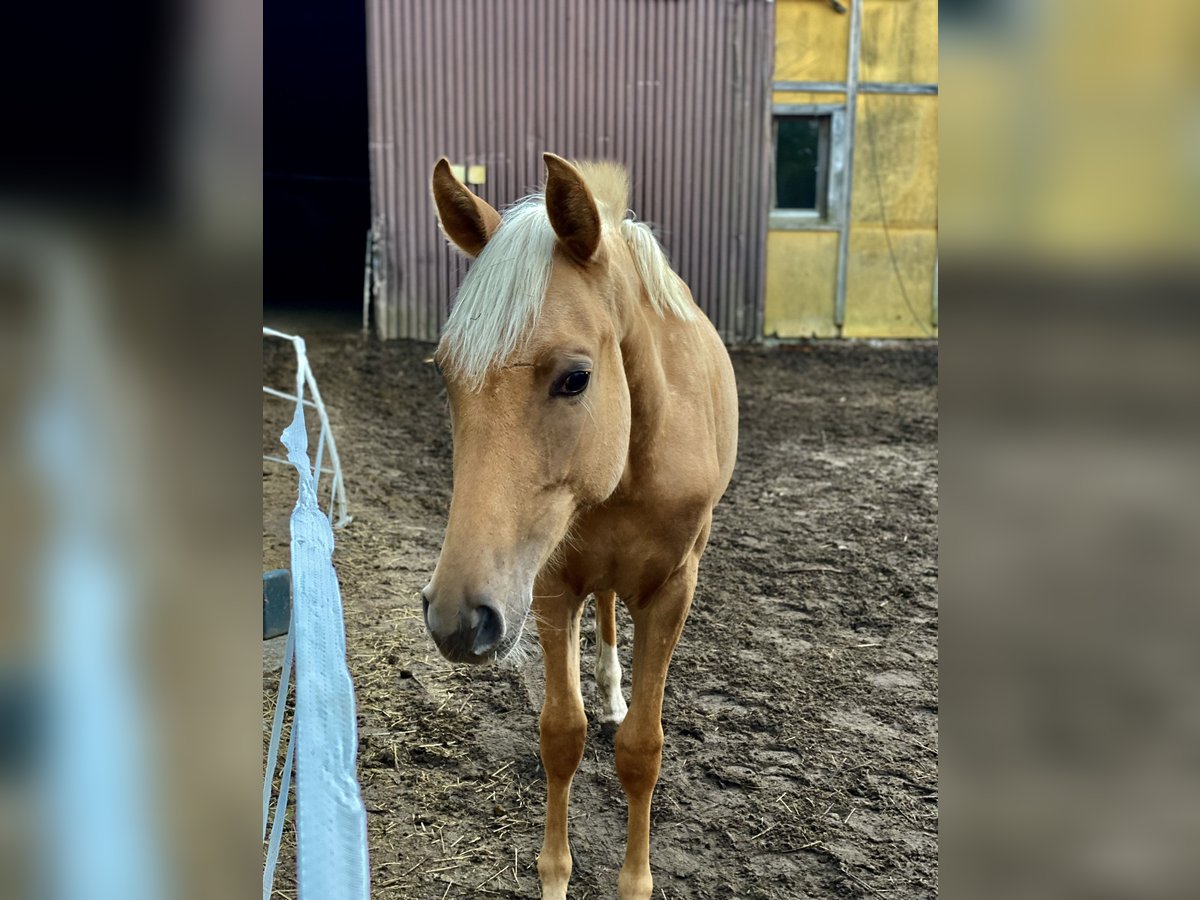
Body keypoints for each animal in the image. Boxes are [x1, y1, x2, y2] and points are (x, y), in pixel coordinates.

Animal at [422, 151, 739, 897]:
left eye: (575, 378)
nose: (456, 619)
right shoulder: (548, 587)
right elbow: (560, 735)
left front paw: (635, 882)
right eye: (446, 375)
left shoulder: (672, 591)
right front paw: (554, 879)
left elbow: (642, 750)